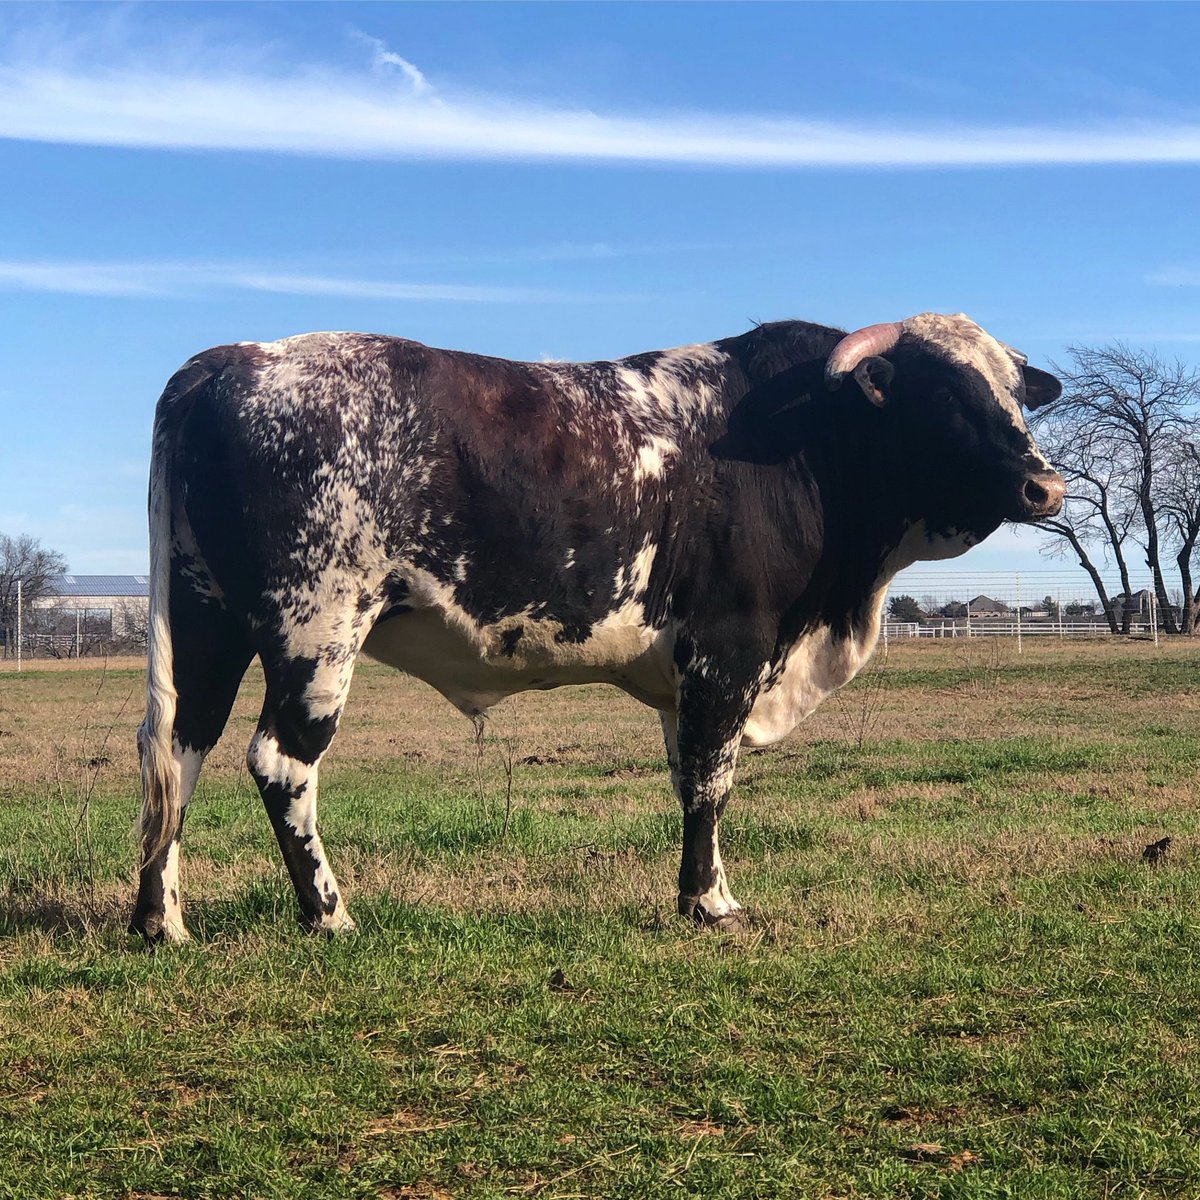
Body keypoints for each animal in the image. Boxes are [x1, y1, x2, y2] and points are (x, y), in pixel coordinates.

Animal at [131, 313, 1063, 943]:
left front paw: (700, 892)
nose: (1045, 487)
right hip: (315, 627)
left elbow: (689, 778)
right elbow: (711, 784)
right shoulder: (728, 649)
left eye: (1015, 395)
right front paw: (710, 903)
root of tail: (234, 359)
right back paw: (330, 915)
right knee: (280, 762)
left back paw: (160, 921)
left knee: (177, 750)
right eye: (943, 394)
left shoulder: (687, 677)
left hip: (208, 616)